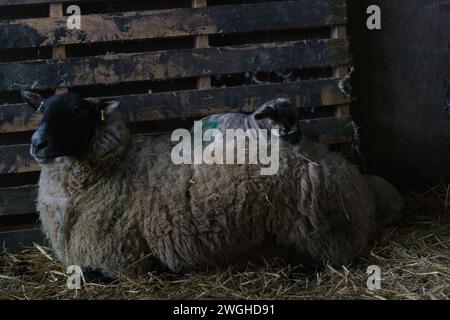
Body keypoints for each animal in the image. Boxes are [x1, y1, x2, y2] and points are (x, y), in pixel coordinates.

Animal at [21, 89, 402, 278]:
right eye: (40, 110)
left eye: (78, 114)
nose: (37, 143)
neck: (112, 168)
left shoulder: (119, 262)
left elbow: (92, 274)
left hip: (317, 233)